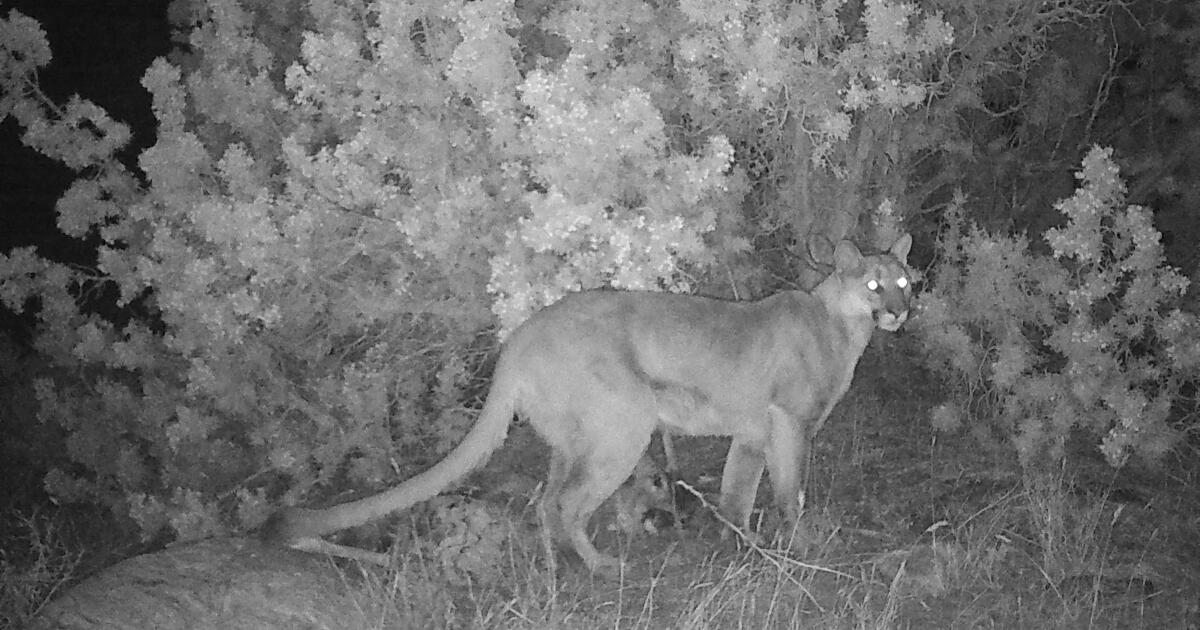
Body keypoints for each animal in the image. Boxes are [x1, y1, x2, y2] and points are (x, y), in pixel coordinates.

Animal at [263, 234, 913, 572]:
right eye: (873, 284)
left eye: (904, 280)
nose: (900, 310)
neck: (841, 325)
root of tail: (519, 337)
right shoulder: (790, 424)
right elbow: (788, 493)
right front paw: (803, 547)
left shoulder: (753, 432)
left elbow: (737, 494)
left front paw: (746, 548)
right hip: (625, 426)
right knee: (568, 502)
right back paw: (600, 566)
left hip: (574, 436)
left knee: (547, 501)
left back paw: (559, 566)